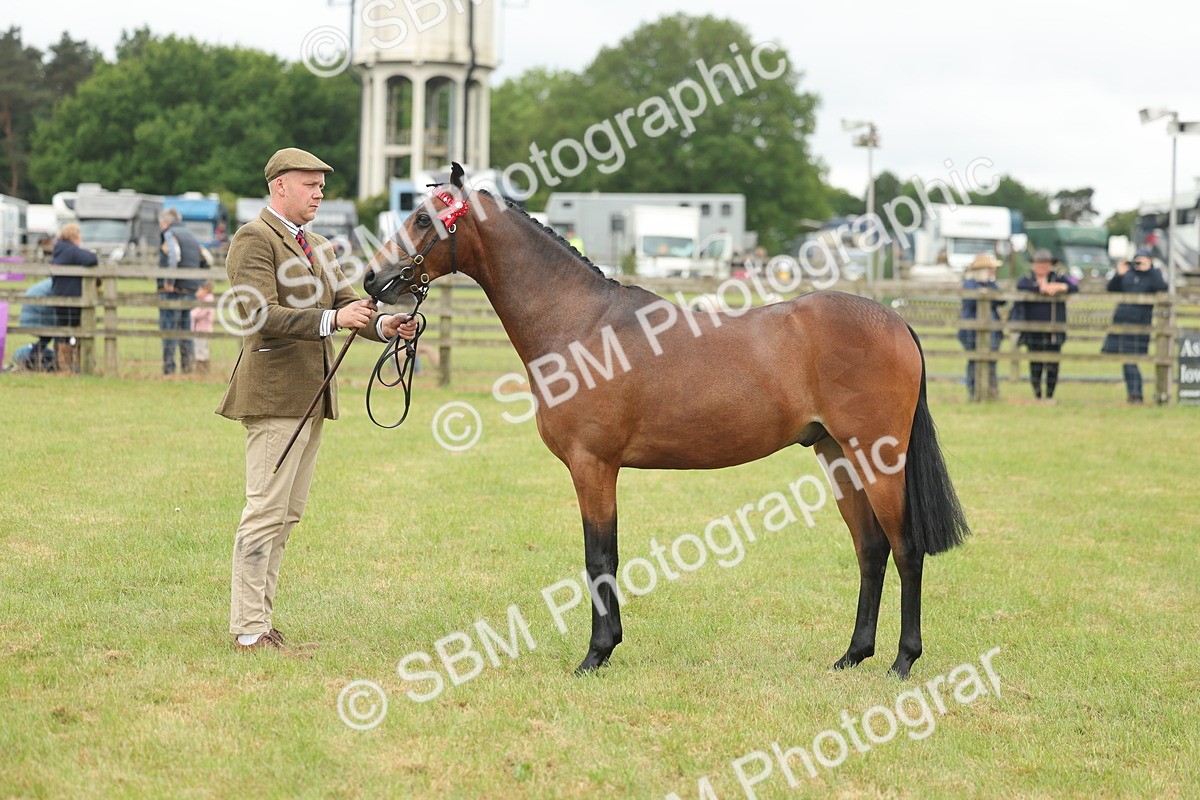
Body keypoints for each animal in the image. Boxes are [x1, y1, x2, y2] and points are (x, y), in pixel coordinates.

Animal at [363, 164, 970, 679]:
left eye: (424, 218)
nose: (371, 280)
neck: (579, 323)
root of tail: (895, 320)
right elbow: (603, 556)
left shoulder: (593, 465)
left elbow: (599, 556)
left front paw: (596, 654)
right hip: (838, 456)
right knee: (870, 549)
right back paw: (852, 655)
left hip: (878, 457)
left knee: (905, 548)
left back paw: (902, 662)